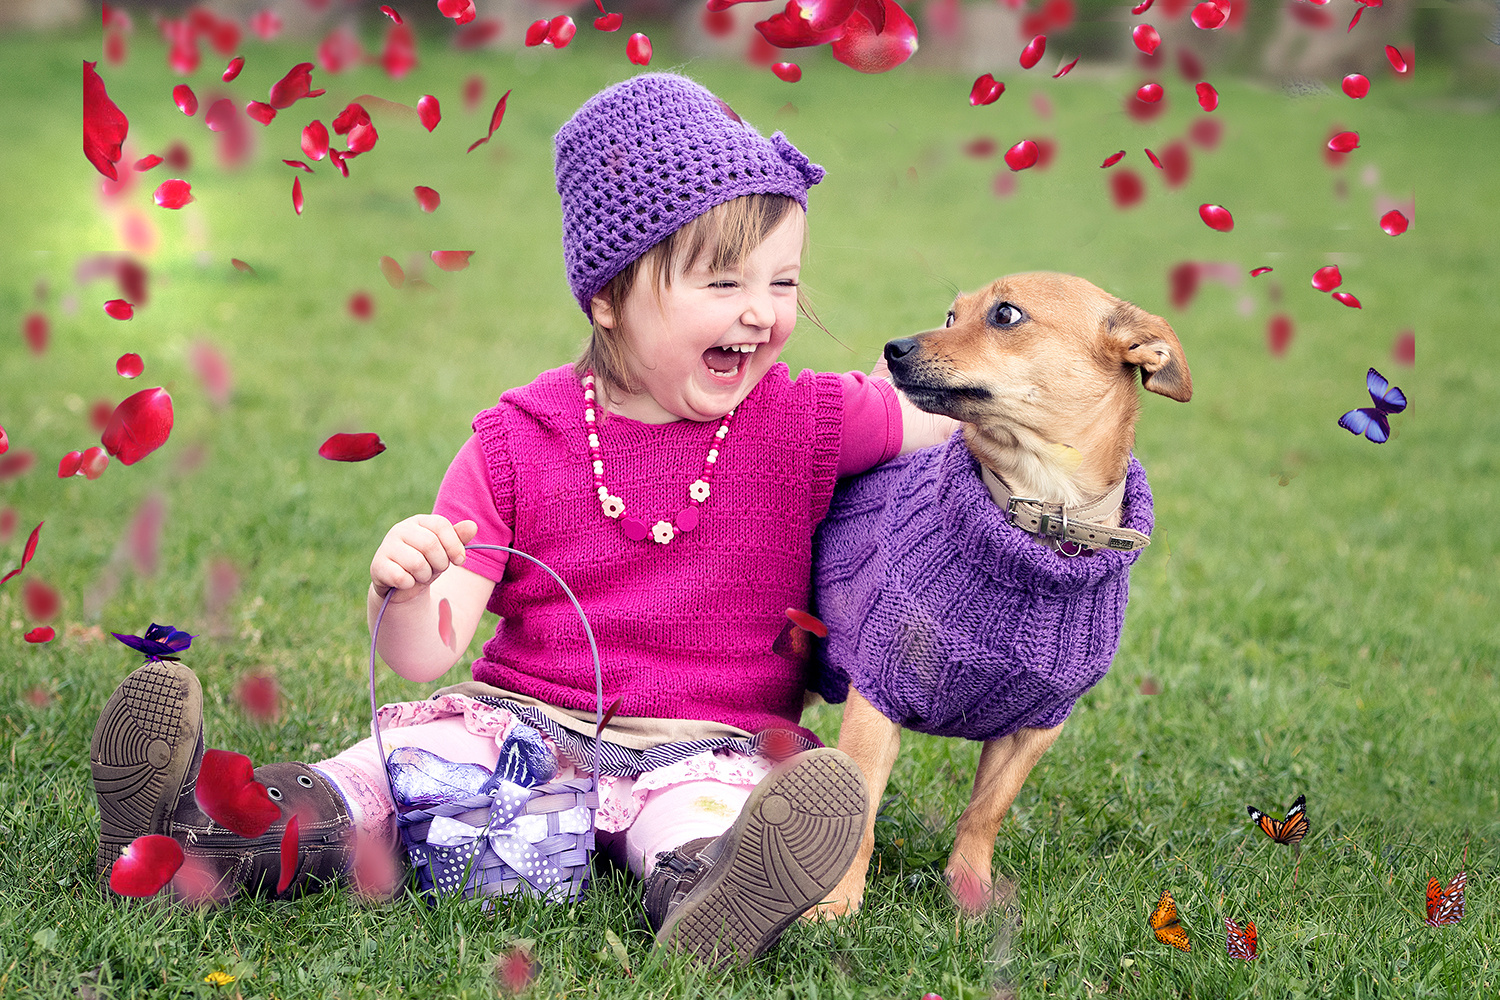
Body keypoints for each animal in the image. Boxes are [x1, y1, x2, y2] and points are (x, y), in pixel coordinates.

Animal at [816, 271, 1188, 917]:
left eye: (1006, 315)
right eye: (950, 314)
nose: (894, 348)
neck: (1042, 517)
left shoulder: (1035, 728)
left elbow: (984, 814)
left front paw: (970, 896)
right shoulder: (878, 696)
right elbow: (859, 815)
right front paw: (836, 909)